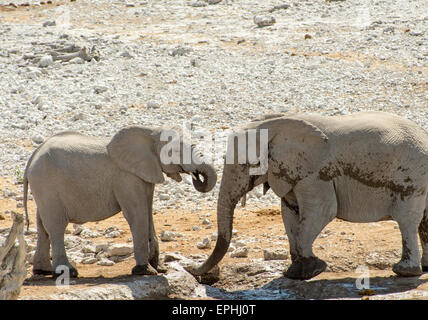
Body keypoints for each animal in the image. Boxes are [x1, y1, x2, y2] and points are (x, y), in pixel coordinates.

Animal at [23, 125, 217, 278]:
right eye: (175, 152)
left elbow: (148, 213)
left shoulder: (145, 174)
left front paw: (160, 269)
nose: (196, 175)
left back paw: (43, 271)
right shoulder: (126, 177)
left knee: (42, 225)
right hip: (47, 184)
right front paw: (145, 271)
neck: (150, 132)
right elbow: (137, 214)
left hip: (44, 189)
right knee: (56, 226)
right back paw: (67, 272)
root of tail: (33, 156)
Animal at [191, 112, 428, 280]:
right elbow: (289, 214)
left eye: (249, 164)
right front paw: (295, 272)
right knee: (424, 222)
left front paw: (312, 270)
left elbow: (321, 212)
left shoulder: (314, 174)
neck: (275, 123)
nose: (196, 272)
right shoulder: (291, 173)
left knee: (407, 220)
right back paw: (424, 267)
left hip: (412, 176)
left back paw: (405, 271)